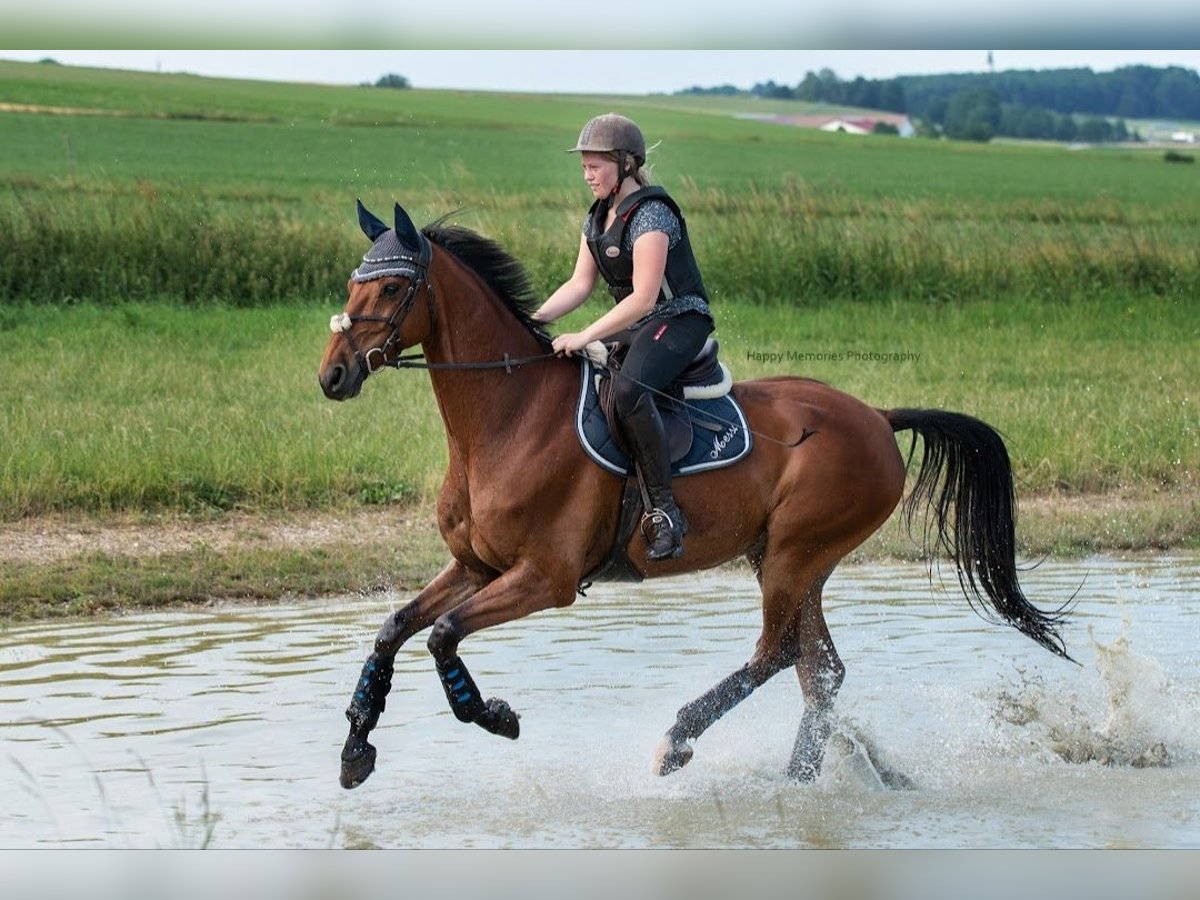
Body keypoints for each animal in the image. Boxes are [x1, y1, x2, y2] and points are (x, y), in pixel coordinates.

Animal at [316, 202, 1070, 787]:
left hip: (797, 552)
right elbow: (394, 628)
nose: (332, 375)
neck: (508, 416)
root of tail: (879, 418)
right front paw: (355, 747)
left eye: (391, 289)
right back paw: (798, 780)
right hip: (790, 559)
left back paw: (679, 742)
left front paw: (493, 716)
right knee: (820, 670)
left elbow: (443, 634)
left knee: (777, 655)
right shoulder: (476, 566)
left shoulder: (544, 578)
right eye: (355, 282)